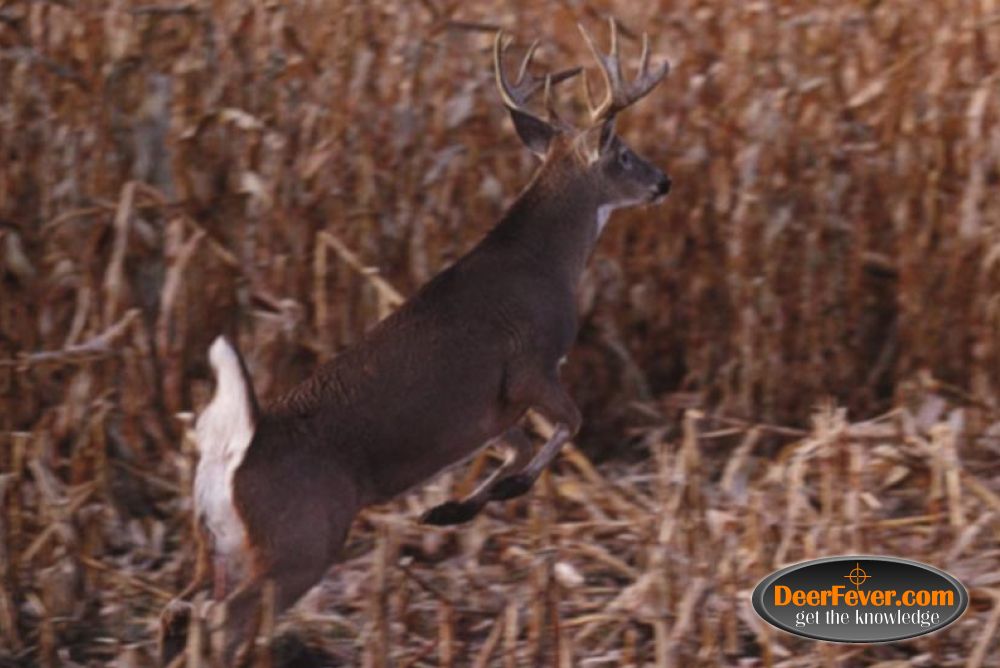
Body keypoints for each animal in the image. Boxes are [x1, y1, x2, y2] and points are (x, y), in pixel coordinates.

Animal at [159, 18, 671, 666]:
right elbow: (567, 426)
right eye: (624, 153)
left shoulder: (487, 409)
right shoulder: (531, 364)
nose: (664, 181)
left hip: (219, 546)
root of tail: (234, 446)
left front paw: (449, 510)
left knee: (176, 610)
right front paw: (496, 495)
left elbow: (517, 448)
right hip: (300, 542)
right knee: (217, 623)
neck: (545, 262)